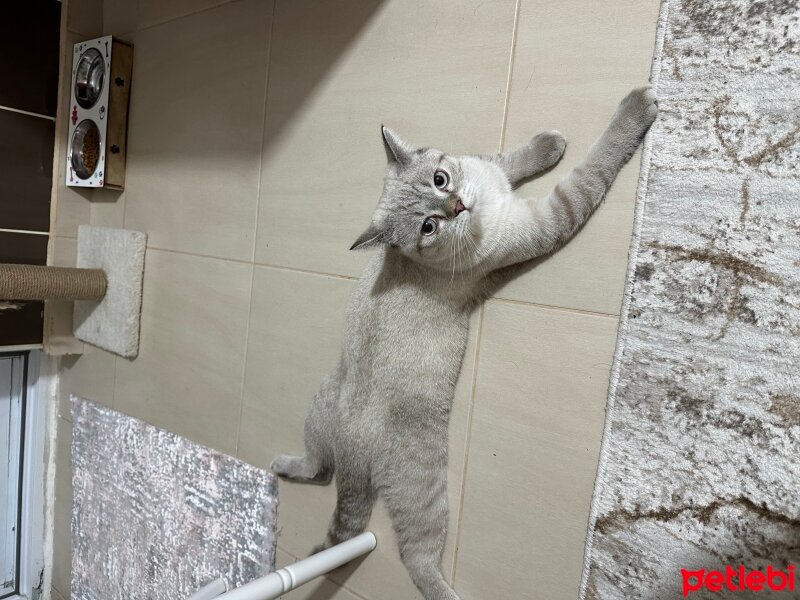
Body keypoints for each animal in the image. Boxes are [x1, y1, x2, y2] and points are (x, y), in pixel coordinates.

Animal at [272, 85, 660, 600]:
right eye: (428, 227)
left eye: (441, 179)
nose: (457, 206)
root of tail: (351, 448)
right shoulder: (551, 216)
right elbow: (594, 167)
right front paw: (636, 107)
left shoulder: (487, 166)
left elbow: (511, 158)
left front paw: (550, 144)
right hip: (425, 491)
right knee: (415, 558)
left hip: (318, 405)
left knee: (318, 469)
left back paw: (281, 464)